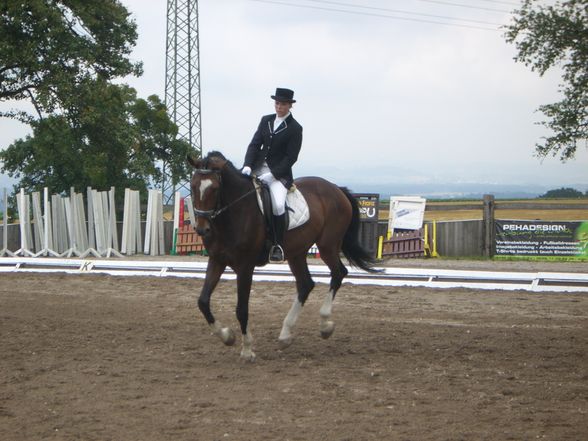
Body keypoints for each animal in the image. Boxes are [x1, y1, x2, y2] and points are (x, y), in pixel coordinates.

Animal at [191, 151, 378, 360]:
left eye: (215, 189)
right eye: (193, 186)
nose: (202, 229)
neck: (232, 214)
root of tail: (335, 188)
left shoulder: (245, 266)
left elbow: (242, 309)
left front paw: (247, 350)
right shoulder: (217, 260)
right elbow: (203, 302)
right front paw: (227, 336)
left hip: (328, 245)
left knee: (338, 273)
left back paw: (324, 326)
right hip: (297, 252)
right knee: (306, 284)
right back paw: (285, 335)